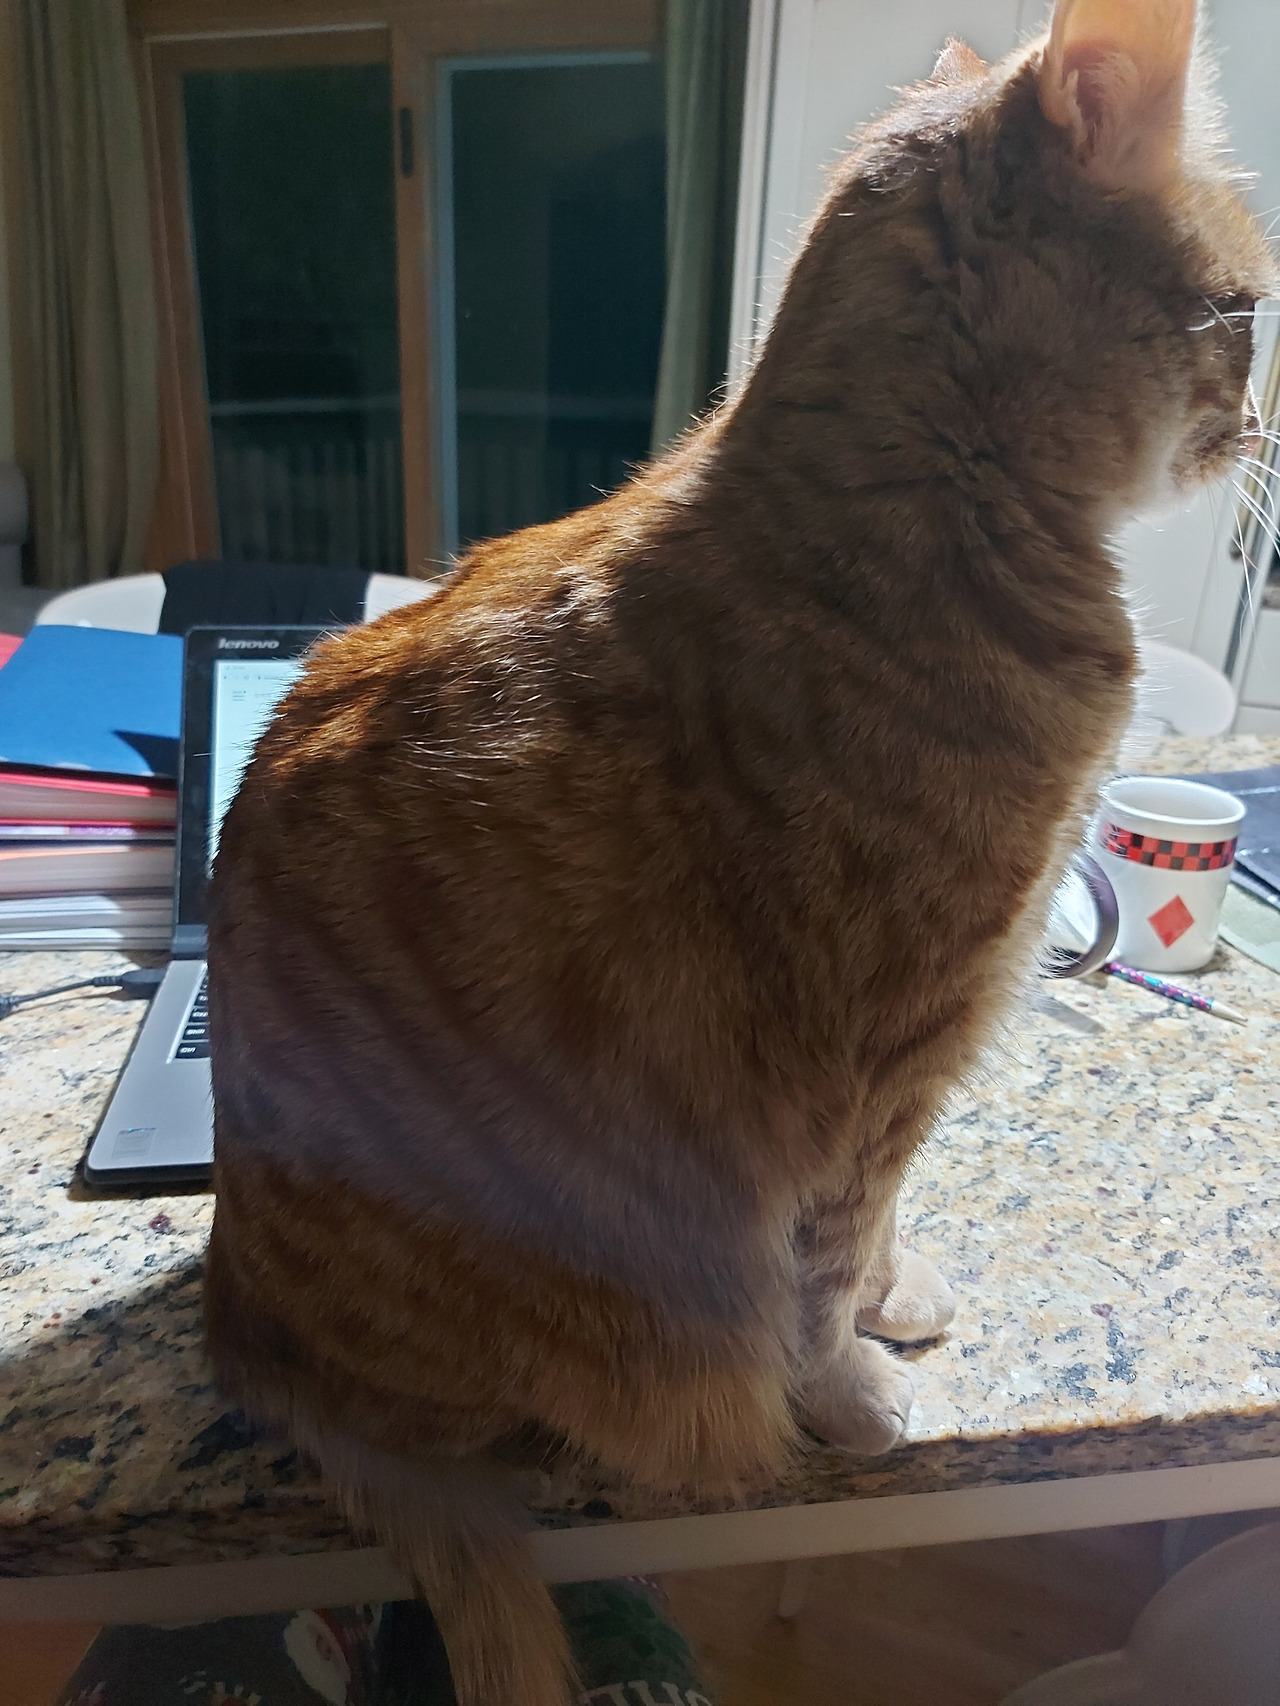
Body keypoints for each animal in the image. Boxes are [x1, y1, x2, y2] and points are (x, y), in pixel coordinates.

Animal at [205, 3, 1275, 1702]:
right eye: (1242, 312)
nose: (1258, 436)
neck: (928, 516)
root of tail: (237, 1308)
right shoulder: (875, 1058)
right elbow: (822, 1256)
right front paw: (844, 1387)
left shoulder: (932, 1055)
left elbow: (881, 1223)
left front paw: (899, 1295)